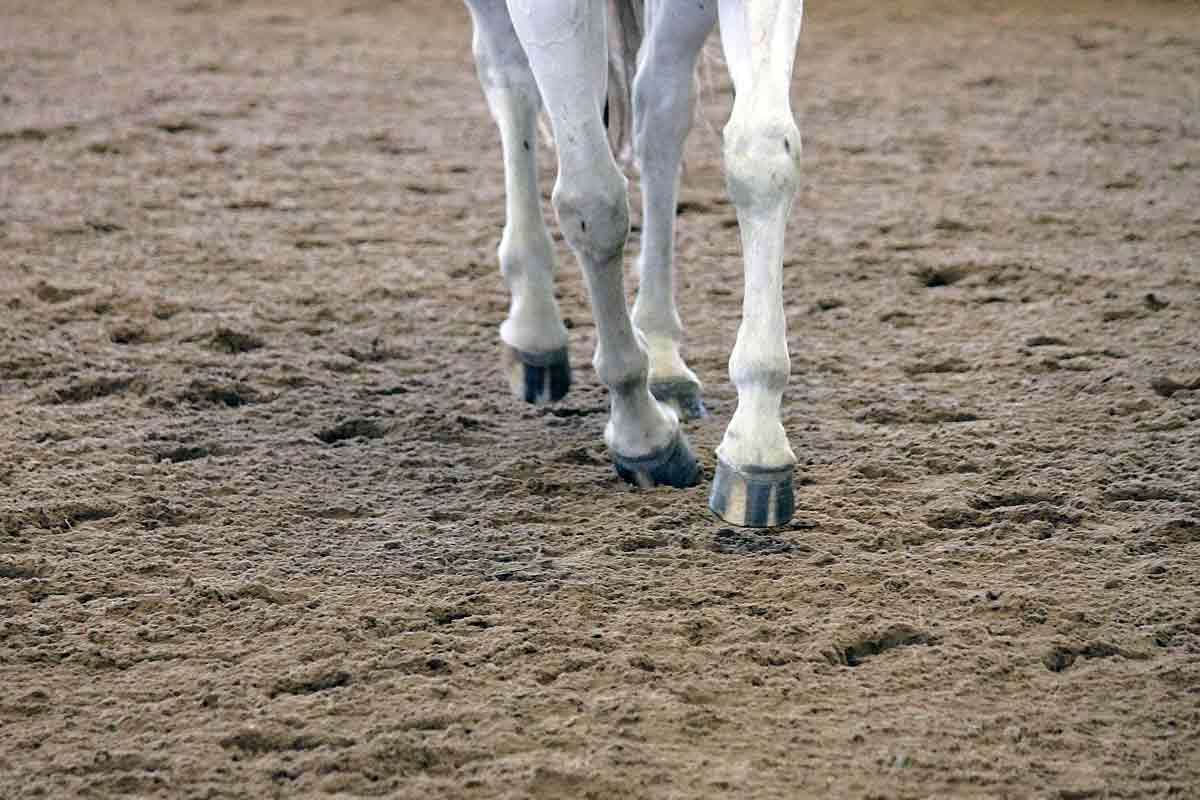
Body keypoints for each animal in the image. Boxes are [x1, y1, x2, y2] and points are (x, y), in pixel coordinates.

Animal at [463, 0, 801, 527]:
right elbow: (592, 202)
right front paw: (641, 431)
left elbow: (762, 156)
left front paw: (755, 441)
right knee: (510, 75)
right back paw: (536, 327)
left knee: (659, 104)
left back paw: (662, 357)